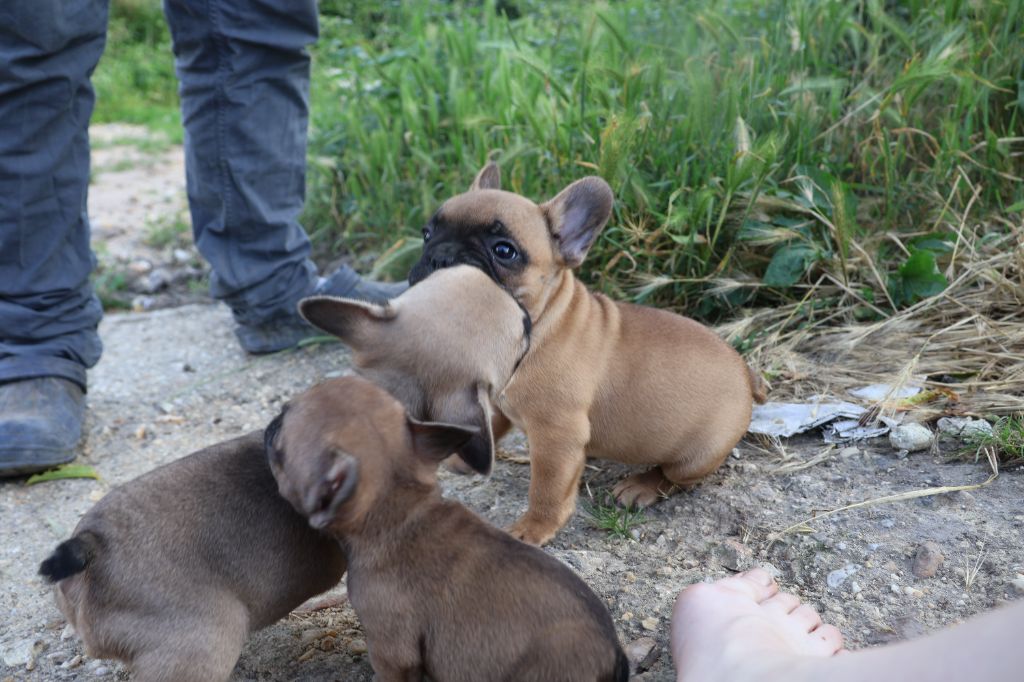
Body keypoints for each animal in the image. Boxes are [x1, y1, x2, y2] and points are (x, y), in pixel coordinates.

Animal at [407, 161, 770, 544]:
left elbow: (547, 489)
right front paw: (461, 458)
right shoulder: (497, 403)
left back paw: (641, 485)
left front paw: (532, 529)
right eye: (427, 234)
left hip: (696, 456)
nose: (440, 255)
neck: (533, 326)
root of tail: (746, 372)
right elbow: (487, 425)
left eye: (504, 251)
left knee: (674, 477)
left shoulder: (557, 435)